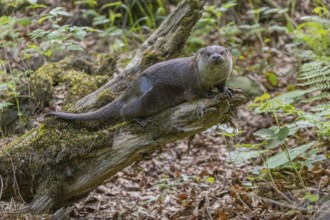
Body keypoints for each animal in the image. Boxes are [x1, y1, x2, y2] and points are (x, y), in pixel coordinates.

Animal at [45, 45, 233, 125]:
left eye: (222, 52)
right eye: (208, 53)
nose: (216, 56)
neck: (209, 79)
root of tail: (131, 88)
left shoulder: (221, 79)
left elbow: (222, 86)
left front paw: (227, 90)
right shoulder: (192, 81)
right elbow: (197, 92)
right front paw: (209, 94)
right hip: (144, 99)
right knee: (124, 112)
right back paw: (140, 120)